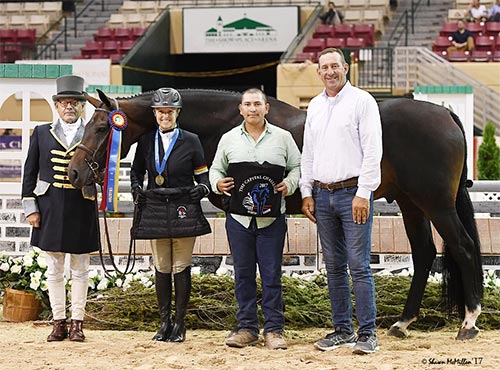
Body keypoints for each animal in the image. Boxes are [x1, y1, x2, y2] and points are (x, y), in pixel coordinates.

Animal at [68, 88, 482, 340]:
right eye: (88, 124)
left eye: (103, 127)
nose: (74, 173)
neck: (223, 124)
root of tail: (446, 113)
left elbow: (250, 264)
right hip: (412, 203)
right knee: (425, 253)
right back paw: (402, 323)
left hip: (436, 204)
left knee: (462, 247)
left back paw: (469, 321)